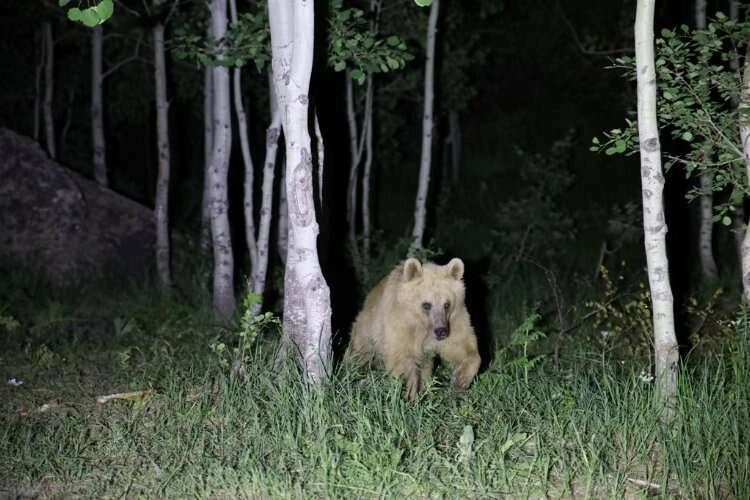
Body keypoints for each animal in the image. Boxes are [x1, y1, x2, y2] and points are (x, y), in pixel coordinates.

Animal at [346, 258, 482, 398]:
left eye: (447, 304)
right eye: (426, 304)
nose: (441, 332)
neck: (424, 327)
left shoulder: (453, 320)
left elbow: (461, 345)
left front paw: (460, 379)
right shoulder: (402, 324)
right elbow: (402, 359)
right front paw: (408, 393)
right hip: (367, 332)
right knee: (360, 355)